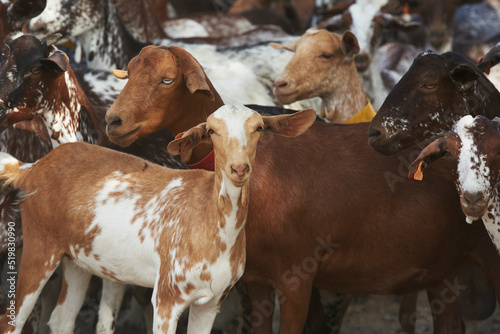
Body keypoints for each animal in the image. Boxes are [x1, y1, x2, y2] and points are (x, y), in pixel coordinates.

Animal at [0, 105, 314, 334]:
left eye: (259, 128)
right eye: (212, 131)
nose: (239, 168)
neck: (210, 221)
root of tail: (32, 167)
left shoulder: (212, 301)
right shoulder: (166, 297)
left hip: (78, 259)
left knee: (62, 318)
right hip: (40, 244)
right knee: (11, 320)